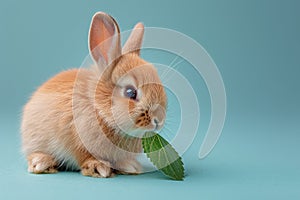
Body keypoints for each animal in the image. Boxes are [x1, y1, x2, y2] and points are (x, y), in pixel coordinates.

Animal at [21, 12, 166, 178]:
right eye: (130, 92)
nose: (158, 120)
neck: (100, 110)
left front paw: (130, 167)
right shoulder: (77, 139)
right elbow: (85, 156)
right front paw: (99, 167)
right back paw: (41, 163)